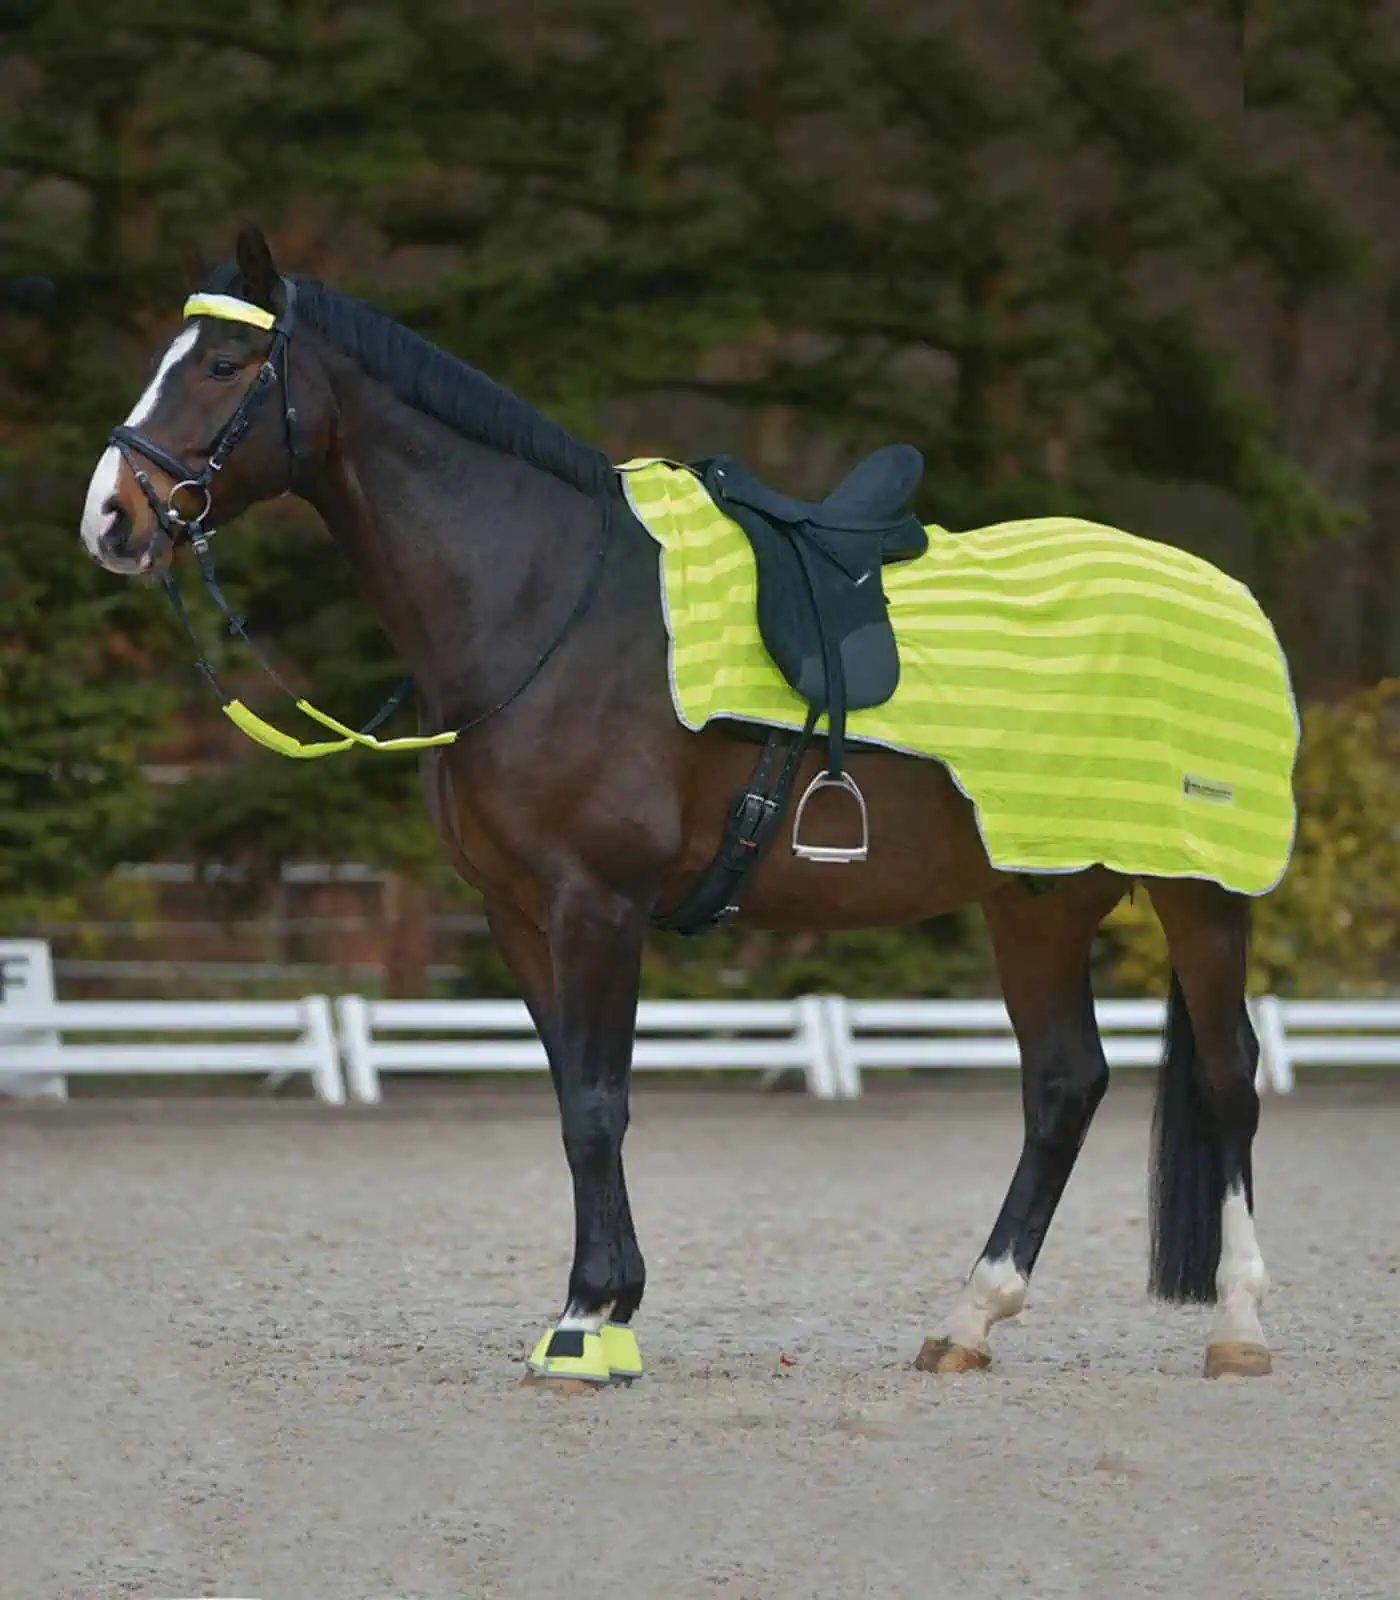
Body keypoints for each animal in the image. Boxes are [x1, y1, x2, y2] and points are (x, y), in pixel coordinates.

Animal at [79, 228, 1280, 1388]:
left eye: (225, 363)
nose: (111, 517)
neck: (546, 604)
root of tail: (1222, 594)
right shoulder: (521, 914)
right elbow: (576, 1099)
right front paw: (608, 1309)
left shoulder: (598, 902)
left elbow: (599, 1103)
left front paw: (583, 1323)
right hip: (1037, 897)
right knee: (1063, 1084)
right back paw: (968, 1321)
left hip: (1198, 893)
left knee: (1229, 1078)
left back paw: (1236, 1326)